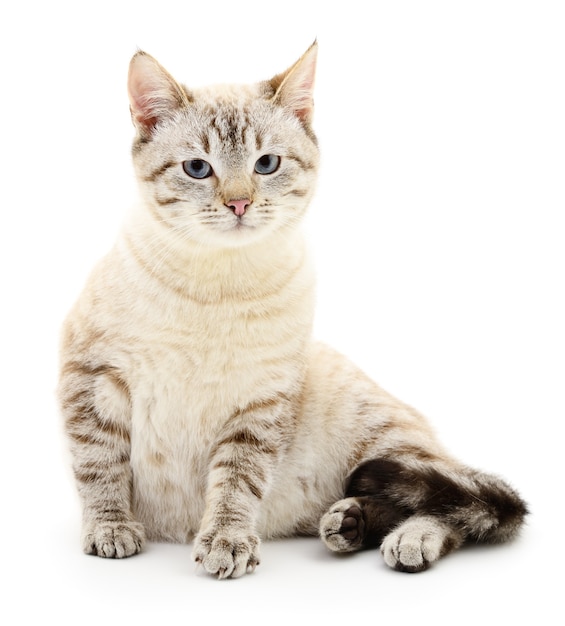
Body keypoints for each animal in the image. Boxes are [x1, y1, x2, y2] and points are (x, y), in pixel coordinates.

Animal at [59, 42, 528, 576]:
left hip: (388, 446)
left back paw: (409, 539)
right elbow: (100, 467)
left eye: (266, 164)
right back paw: (349, 523)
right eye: (197, 168)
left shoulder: (260, 402)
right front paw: (111, 528)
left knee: (455, 503)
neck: (216, 287)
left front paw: (226, 541)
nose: (239, 204)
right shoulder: (93, 377)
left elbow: (237, 482)